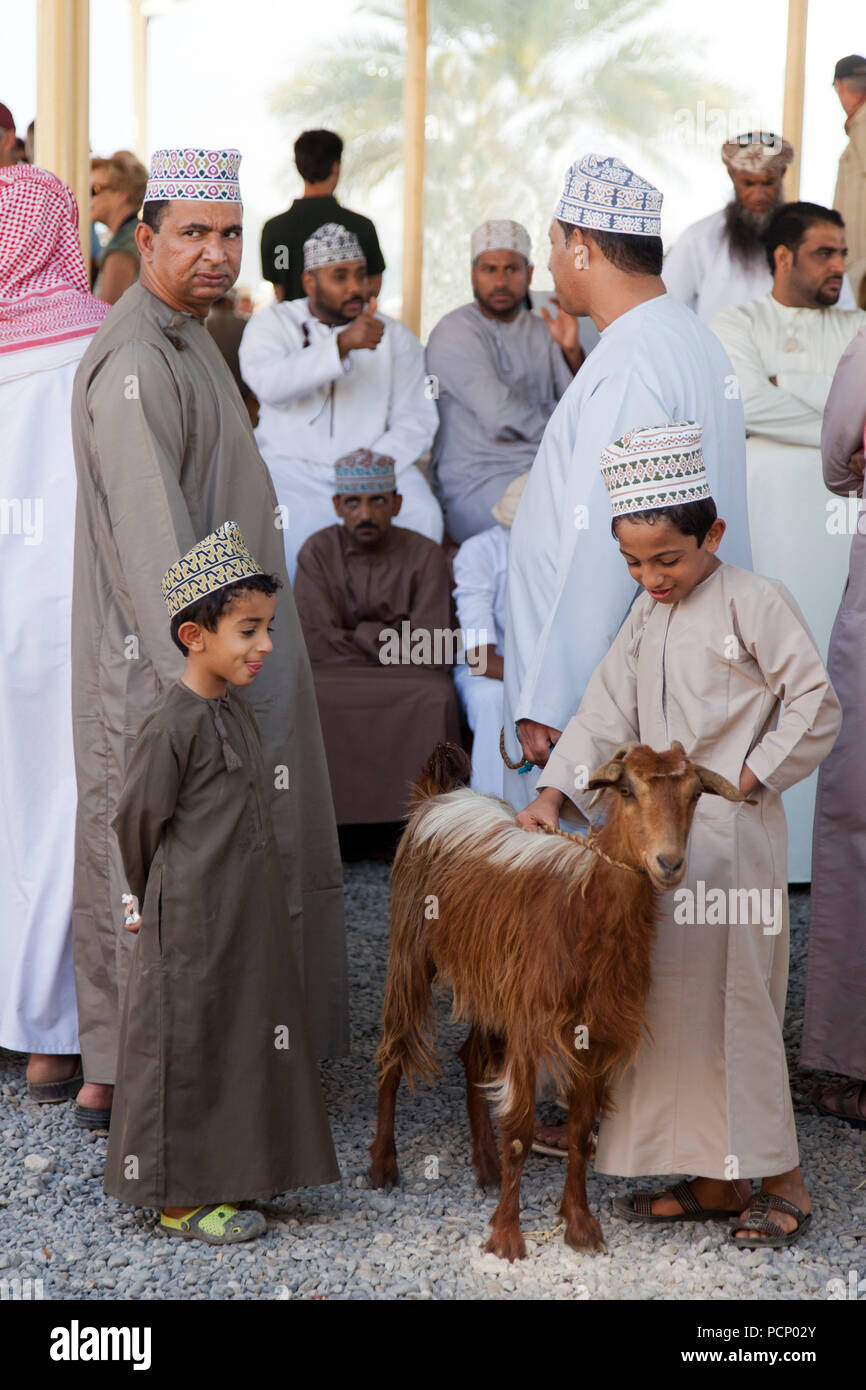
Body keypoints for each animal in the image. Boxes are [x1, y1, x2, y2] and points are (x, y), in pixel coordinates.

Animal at [369, 745, 750, 1267]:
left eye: (695, 794)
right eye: (626, 789)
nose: (669, 863)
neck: (582, 909)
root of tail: (440, 797)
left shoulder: (595, 1031)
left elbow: (580, 1134)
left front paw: (580, 1225)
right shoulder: (531, 1025)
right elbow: (519, 1133)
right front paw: (507, 1237)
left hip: (491, 986)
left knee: (472, 1057)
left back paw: (485, 1165)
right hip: (410, 951)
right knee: (393, 1049)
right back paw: (383, 1166)